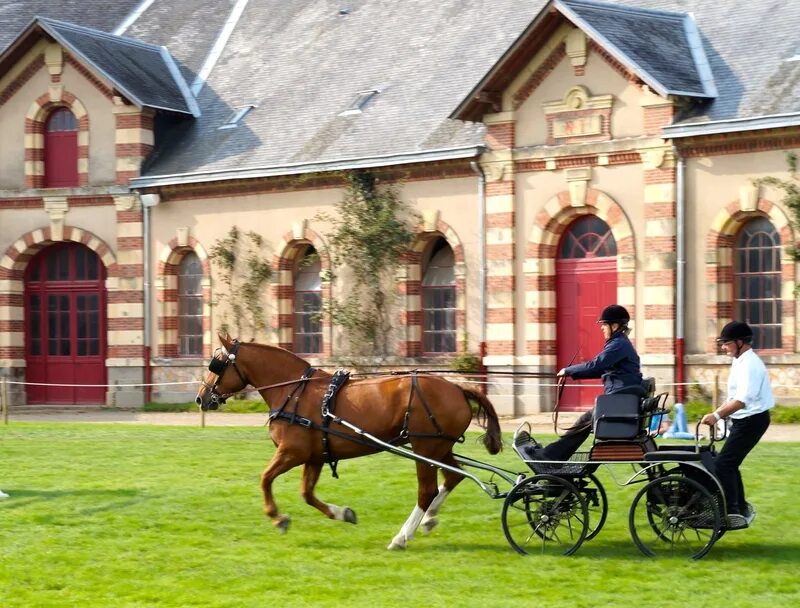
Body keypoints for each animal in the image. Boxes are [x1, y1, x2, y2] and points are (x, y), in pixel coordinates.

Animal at [195, 338, 500, 552]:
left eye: (216, 365)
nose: (201, 397)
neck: (294, 391)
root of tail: (457, 387)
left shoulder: (292, 452)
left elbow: (265, 479)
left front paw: (278, 518)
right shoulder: (315, 456)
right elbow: (307, 494)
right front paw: (343, 513)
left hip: (424, 450)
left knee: (427, 491)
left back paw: (401, 537)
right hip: (440, 448)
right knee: (453, 476)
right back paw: (429, 519)